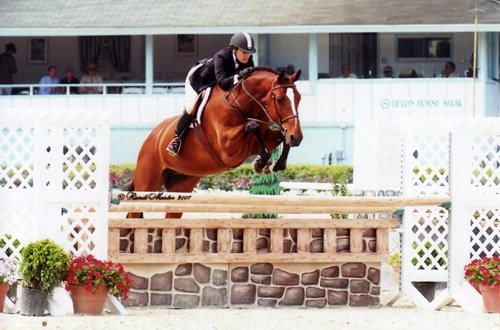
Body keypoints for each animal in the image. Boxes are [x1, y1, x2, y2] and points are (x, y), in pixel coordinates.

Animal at [130, 67, 300, 199]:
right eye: (280, 100)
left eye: (298, 98)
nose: (297, 137)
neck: (239, 105)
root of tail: (153, 136)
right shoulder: (227, 147)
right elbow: (253, 126)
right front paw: (261, 162)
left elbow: (278, 137)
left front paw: (271, 163)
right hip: (147, 182)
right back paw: (174, 145)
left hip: (182, 184)